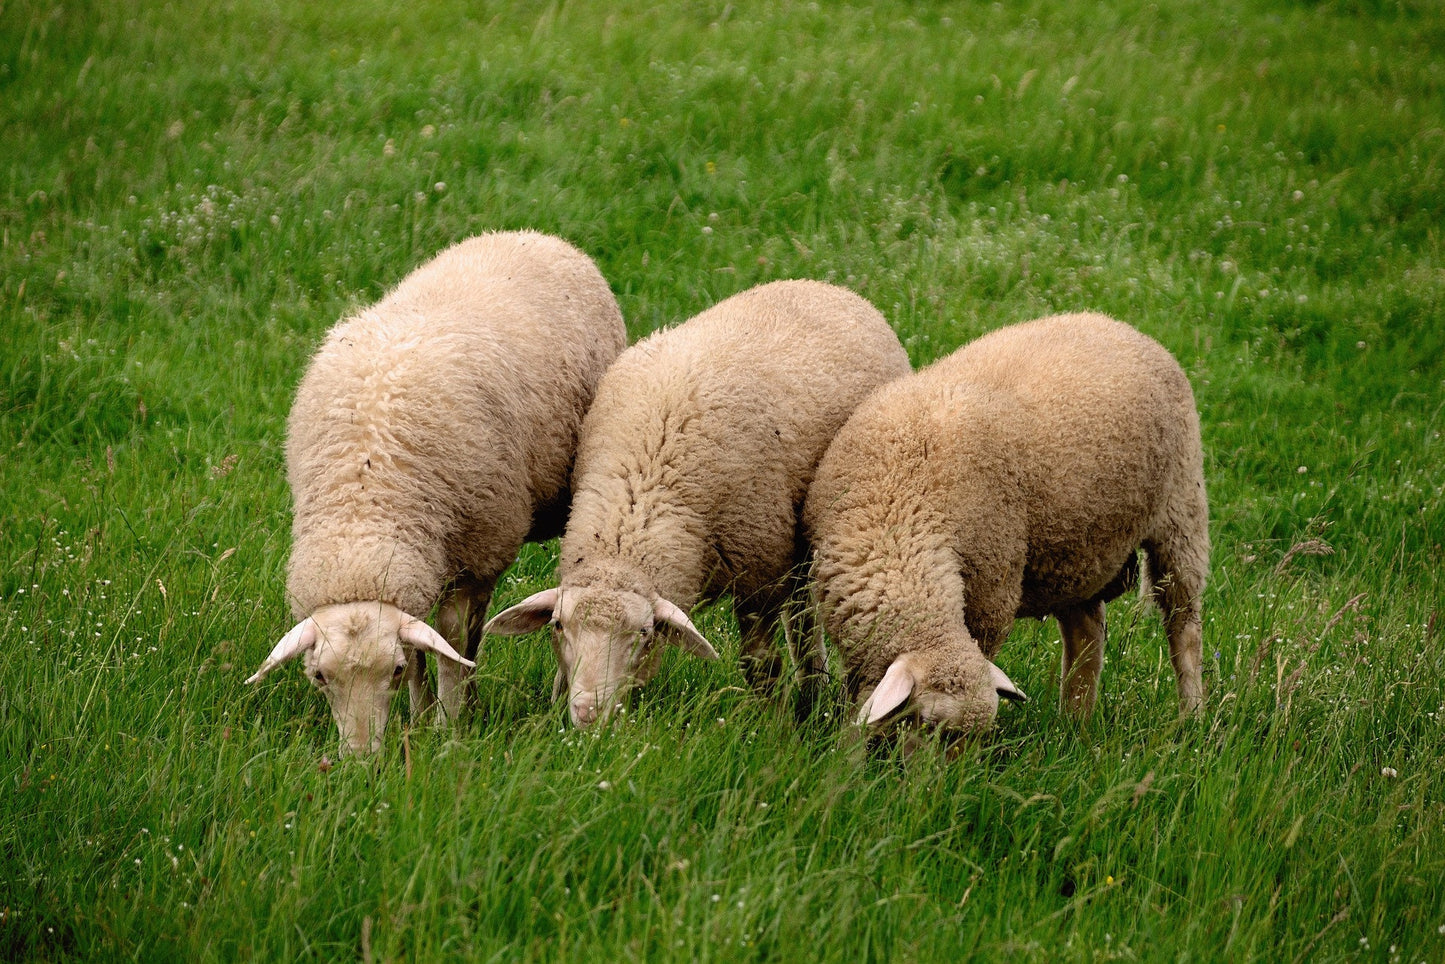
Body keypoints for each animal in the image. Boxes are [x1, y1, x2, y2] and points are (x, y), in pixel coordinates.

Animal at [245, 230, 627, 755]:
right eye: (320, 677)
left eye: (390, 671)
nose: (361, 760)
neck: (364, 508)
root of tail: (534, 235)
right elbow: (425, 646)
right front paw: (422, 716)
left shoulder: (476, 556)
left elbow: (448, 645)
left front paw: (448, 726)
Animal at [483, 279, 913, 727]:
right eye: (557, 626)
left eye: (643, 634)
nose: (588, 714)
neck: (640, 498)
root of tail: (824, 286)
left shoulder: (758, 574)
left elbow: (760, 664)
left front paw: (774, 728)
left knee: (801, 616)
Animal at [803, 312, 1208, 739]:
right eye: (925, 723)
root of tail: (1118, 324)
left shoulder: (992, 594)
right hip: (1079, 550)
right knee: (1086, 633)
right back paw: (1074, 725)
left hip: (1182, 514)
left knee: (1184, 626)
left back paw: (1192, 717)